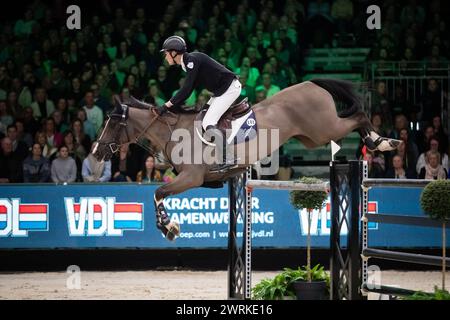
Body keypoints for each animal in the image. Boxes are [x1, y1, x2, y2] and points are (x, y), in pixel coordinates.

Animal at [91, 79, 400, 240]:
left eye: (111, 123)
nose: (95, 152)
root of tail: (313, 83)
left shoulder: (191, 178)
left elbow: (157, 192)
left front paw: (168, 226)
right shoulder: (200, 181)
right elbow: (159, 193)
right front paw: (168, 225)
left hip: (323, 129)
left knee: (358, 116)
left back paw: (382, 142)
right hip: (311, 137)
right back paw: (380, 141)